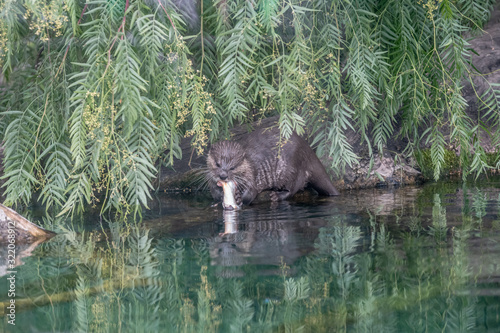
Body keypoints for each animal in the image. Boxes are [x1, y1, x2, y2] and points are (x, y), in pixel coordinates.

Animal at [207, 125, 340, 205]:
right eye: (217, 164)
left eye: (233, 167)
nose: (223, 176)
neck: (247, 165)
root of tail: (308, 151)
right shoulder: (211, 182)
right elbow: (214, 192)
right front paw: (221, 197)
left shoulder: (251, 175)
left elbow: (251, 193)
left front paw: (239, 198)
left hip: (292, 170)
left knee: (292, 189)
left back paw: (275, 196)